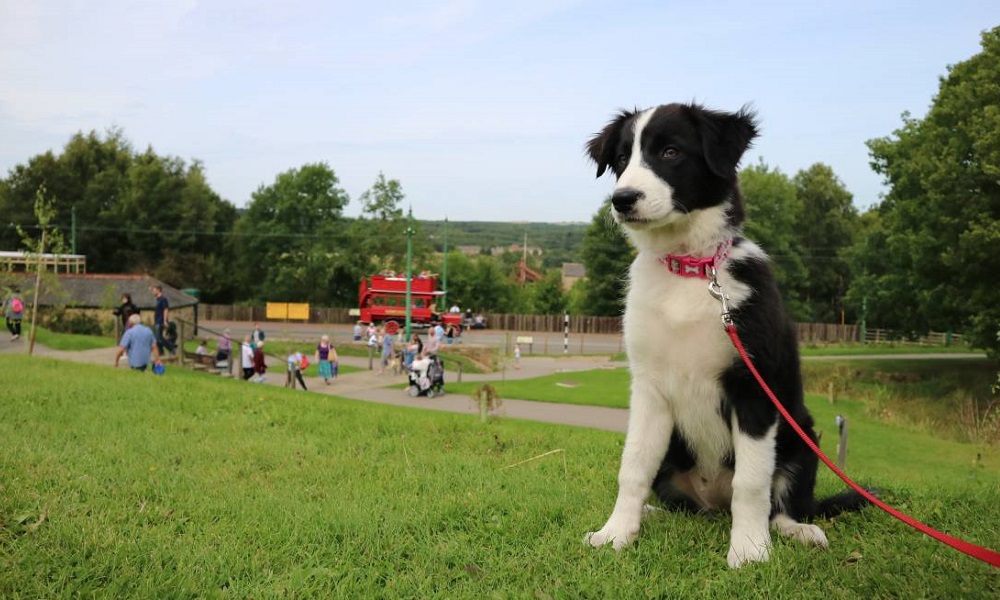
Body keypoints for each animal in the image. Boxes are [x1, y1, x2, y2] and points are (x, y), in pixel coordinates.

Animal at [584, 102, 868, 568]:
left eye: (670, 151)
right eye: (622, 159)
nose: (622, 200)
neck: (690, 268)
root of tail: (713, 505)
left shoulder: (752, 386)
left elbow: (752, 482)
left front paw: (749, 550)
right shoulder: (649, 388)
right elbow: (634, 466)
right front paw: (616, 532)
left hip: (801, 433)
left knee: (781, 506)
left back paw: (799, 529)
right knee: (679, 501)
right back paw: (652, 513)